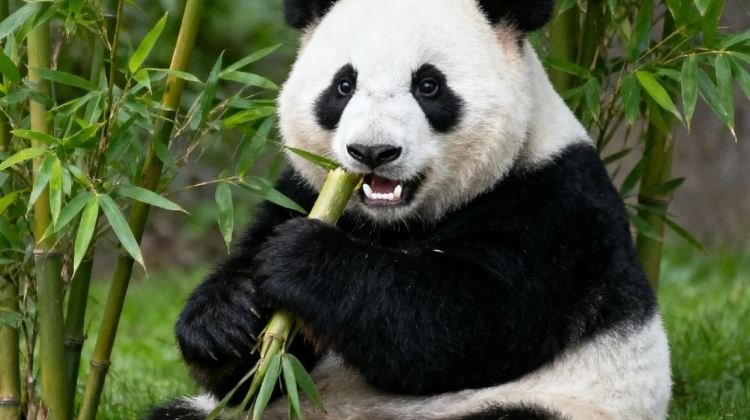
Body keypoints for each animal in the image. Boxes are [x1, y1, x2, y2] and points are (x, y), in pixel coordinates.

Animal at [149, 0, 672, 419]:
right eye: (343, 85)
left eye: (429, 85)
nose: (372, 151)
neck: (393, 225)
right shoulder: (301, 191)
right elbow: (258, 376)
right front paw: (228, 316)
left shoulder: (553, 211)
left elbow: (459, 324)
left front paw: (302, 259)